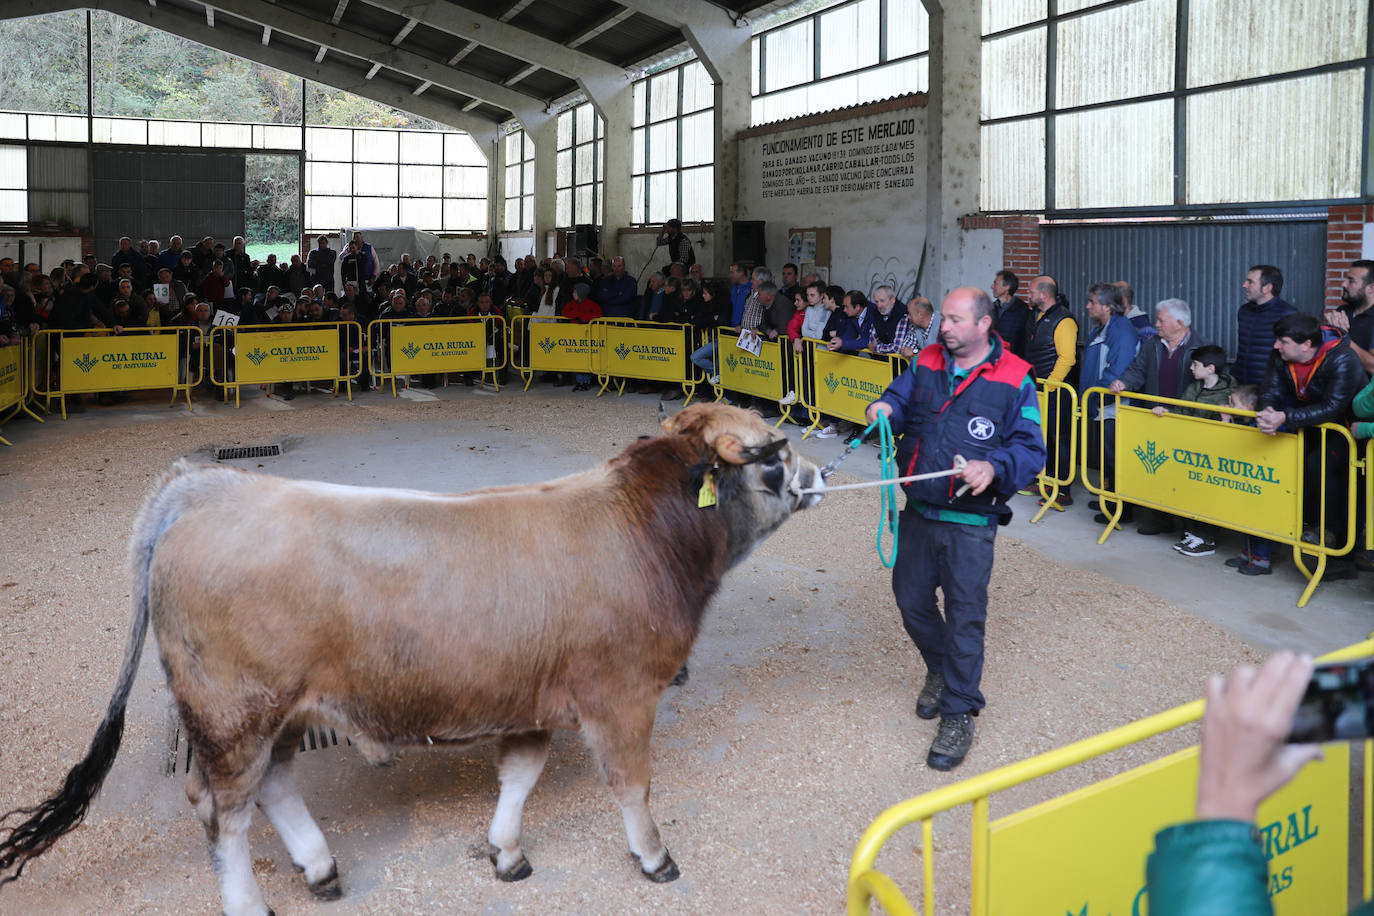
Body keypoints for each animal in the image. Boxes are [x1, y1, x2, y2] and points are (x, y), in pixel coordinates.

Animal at [0, 403, 813, 916]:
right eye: (773, 453)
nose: (817, 475)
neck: (643, 530)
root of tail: (208, 486)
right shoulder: (623, 696)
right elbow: (633, 786)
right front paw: (654, 858)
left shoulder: (530, 699)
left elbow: (519, 777)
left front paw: (507, 854)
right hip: (234, 715)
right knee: (222, 811)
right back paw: (252, 902)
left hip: (281, 712)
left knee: (273, 786)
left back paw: (320, 867)